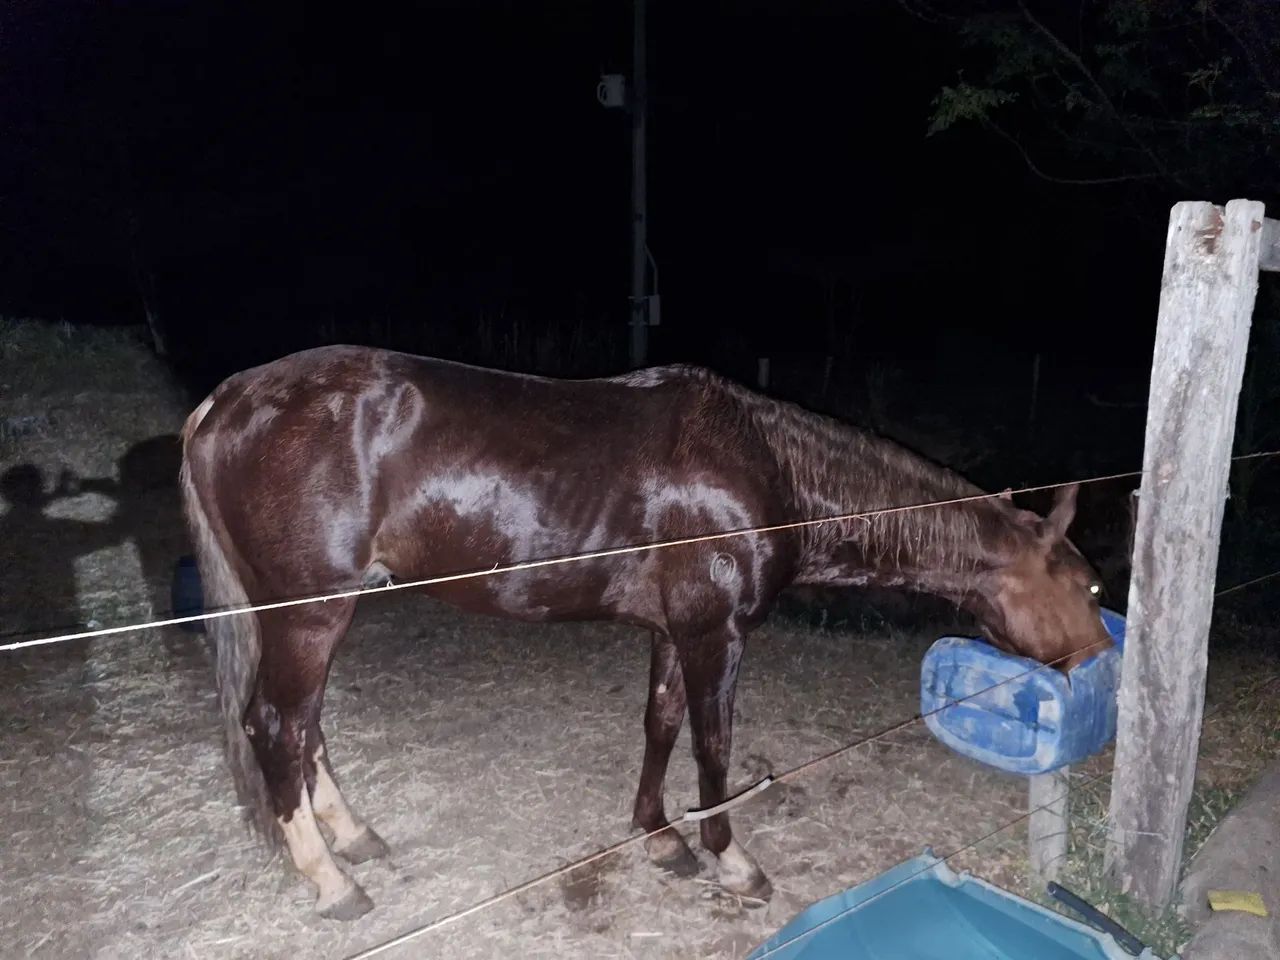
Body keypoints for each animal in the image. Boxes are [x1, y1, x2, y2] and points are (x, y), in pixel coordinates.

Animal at [179, 344, 1110, 920]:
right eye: (1088, 582)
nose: (1102, 660)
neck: (767, 470)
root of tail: (223, 402)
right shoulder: (714, 634)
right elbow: (712, 744)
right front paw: (730, 860)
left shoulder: (673, 629)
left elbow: (660, 724)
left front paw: (659, 836)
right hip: (309, 613)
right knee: (278, 726)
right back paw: (331, 881)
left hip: (305, 616)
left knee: (307, 730)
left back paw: (354, 838)